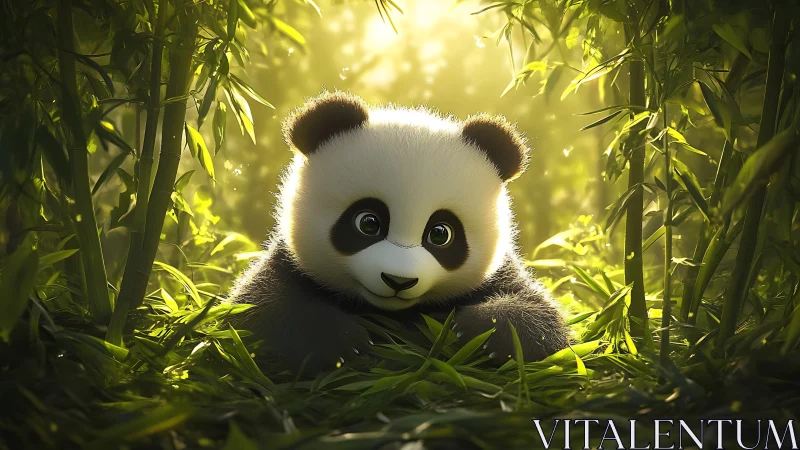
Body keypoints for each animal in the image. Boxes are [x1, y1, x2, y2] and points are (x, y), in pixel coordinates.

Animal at [228, 91, 569, 374]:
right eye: (368, 223)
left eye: (440, 234)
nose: (398, 281)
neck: (391, 312)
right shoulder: (288, 262)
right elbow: (255, 309)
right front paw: (336, 341)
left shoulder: (499, 274)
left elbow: (544, 322)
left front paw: (485, 329)